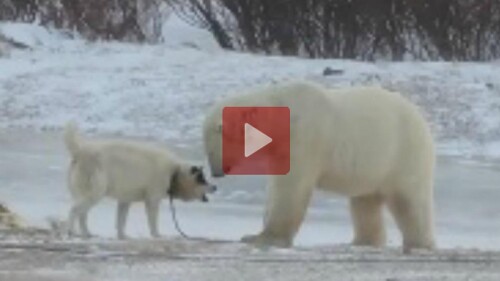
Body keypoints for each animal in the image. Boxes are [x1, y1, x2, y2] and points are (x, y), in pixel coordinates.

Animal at [63, 122, 217, 238]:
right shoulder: (152, 199)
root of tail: (80, 152)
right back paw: (72, 231)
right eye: (202, 179)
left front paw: (122, 236)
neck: (174, 173)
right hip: (95, 192)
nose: (215, 187)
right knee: (75, 210)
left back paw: (86, 233)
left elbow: (121, 220)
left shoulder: (125, 200)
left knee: (82, 213)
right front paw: (156, 235)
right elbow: (153, 220)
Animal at [201, 80, 436, 252]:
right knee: (364, 202)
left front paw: (266, 238)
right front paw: (253, 234)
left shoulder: (303, 138)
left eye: (212, 148)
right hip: (373, 166)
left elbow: (291, 189)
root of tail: (422, 121)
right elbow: (276, 187)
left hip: (403, 153)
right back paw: (362, 241)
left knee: (409, 201)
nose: (216, 172)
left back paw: (419, 244)